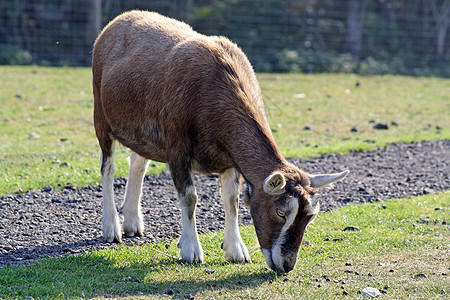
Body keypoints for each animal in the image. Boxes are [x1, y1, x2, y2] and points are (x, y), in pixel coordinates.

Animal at [93, 10, 350, 274]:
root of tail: (119, 21)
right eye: (280, 212)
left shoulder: (229, 158)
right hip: (101, 115)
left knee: (137, 161)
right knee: (108, 167)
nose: (287, 265)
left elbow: (231, 200)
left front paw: (236, 249)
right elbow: (190, 197)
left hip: (144, 133)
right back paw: (111, 227)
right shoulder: (177, 146)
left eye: (310, 216)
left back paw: (133, 222)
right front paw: (191, 249)